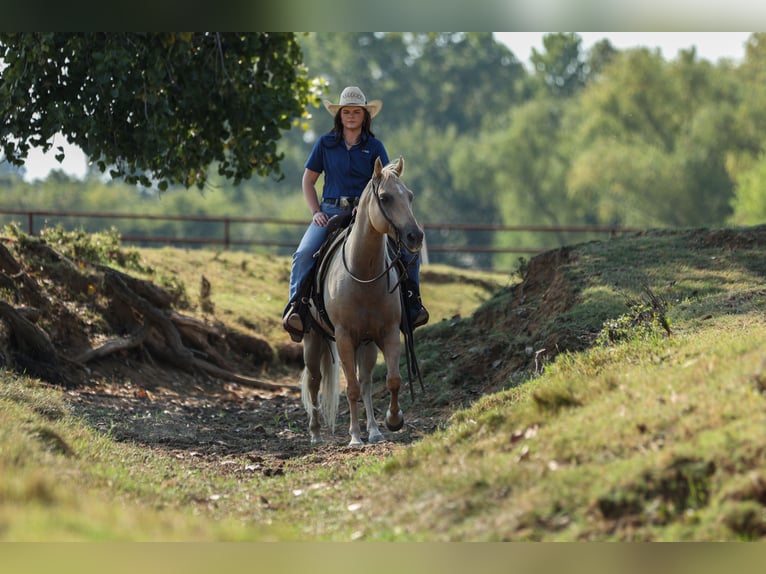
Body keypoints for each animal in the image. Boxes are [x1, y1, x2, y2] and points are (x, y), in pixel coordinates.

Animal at [300, 156, 424, 446]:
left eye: (410, 196)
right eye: (385, 197)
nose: (415, 236)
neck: (363, 275)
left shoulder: (388, 333)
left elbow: (392, 380)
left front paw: (392, 420)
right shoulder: (345, 337)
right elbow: (352, 388)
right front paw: (355, 436)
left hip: (366, 344)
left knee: (366, 381)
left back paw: (374, 430)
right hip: (313, 338)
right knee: (314, 380)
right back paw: (316, 433)